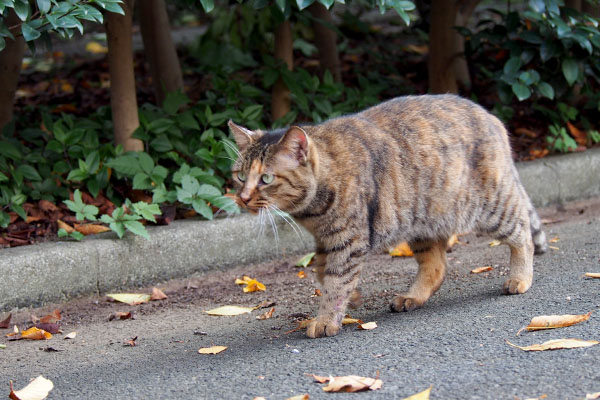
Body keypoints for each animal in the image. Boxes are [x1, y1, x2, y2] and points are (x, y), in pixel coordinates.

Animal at [227, 94, 548, 338]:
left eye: (266, 178)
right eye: (241, 176)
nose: (243, 197)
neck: (313, 210)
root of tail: (491, 117)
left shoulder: (348, 240)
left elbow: (336, 281)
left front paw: (326, 320)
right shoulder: (325, 240)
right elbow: (322, 272)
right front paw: (351, 298)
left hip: (489, 207)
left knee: (521, 231)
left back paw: (520, 278)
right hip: (424, 223)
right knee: (436, 267)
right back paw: (413, 297)